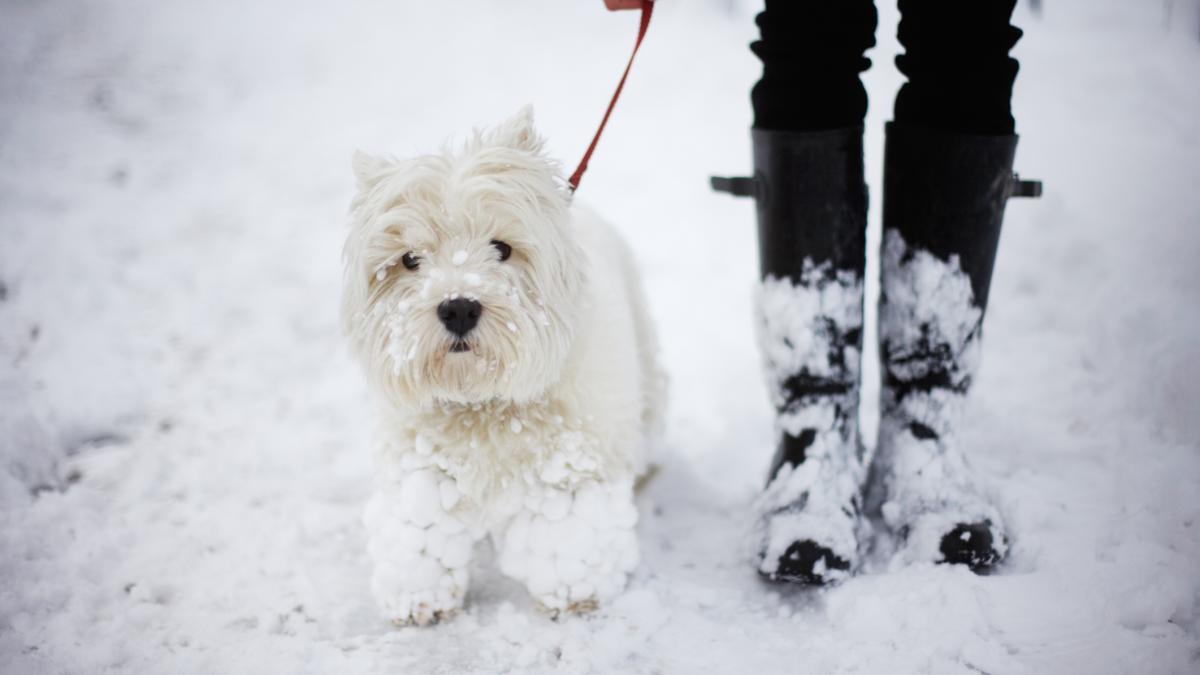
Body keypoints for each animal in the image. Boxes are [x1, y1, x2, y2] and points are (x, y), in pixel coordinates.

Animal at [340, 107, 667, 624]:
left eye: (502, 247)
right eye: (410, 259)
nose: (458, 308)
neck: (482, 403)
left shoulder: (568, 465)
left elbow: (567, 534)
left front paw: (574, 593)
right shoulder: (420, 464)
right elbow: (419, 531)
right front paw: (418, 598)